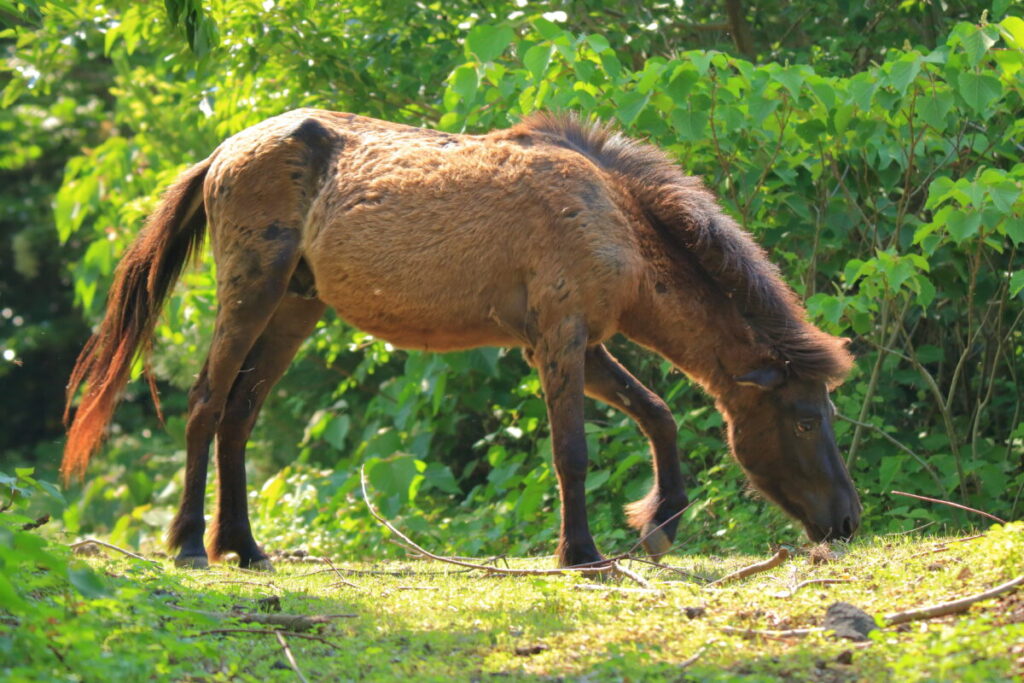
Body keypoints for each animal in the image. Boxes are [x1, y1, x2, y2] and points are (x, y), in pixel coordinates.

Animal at [62, 109, 859, 570]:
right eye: (804, 418)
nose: (848, 521)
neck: (615, 218)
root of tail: (225, 152)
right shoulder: (562, 340)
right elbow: (573, 452)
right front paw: (583, 553)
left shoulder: (576, 344)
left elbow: (657, 414)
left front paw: (658, 521)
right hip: (249, 294)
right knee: (205, 404)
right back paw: (190, 545)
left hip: (292, 310)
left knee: (239, 415)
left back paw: (245, 546)